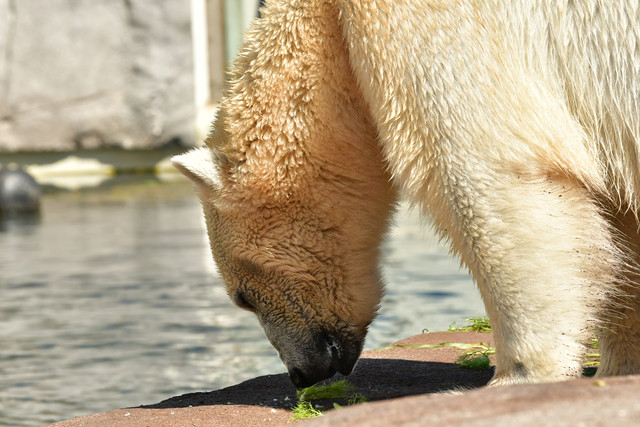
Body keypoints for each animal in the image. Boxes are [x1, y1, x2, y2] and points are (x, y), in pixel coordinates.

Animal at [172, 0, 640, 388]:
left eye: (243, 297)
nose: (301, 375)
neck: (322, 24)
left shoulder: (421, 29)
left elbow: (488, 173)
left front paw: (518, 376)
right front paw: (620, 366)